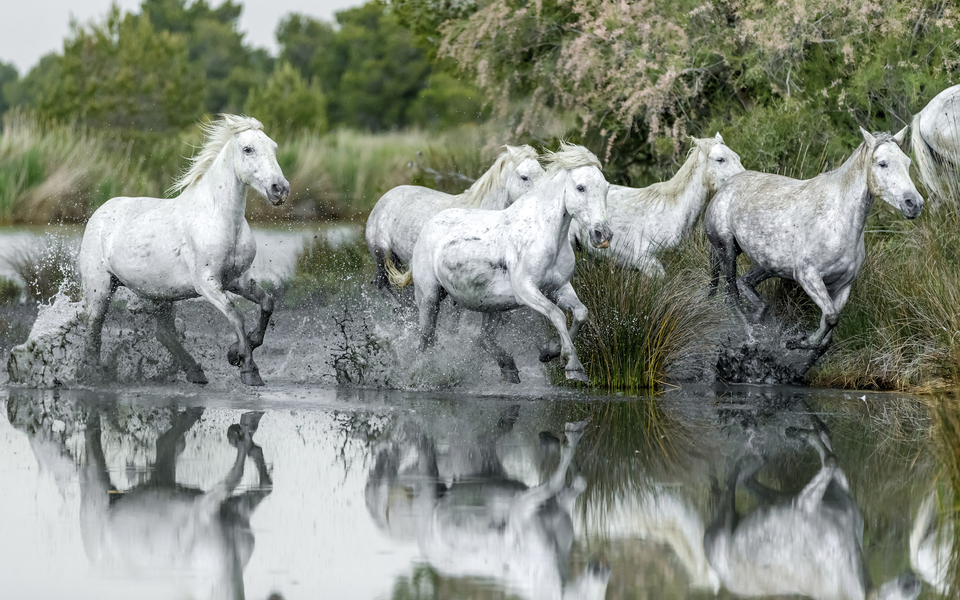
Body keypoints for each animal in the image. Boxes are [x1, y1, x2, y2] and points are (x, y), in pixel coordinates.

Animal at [78, 114, 289, 386]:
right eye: (248, 149)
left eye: (274, 147)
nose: (280, 189)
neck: (219, 220)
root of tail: (100, 211)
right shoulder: (206, 283)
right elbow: (236, 315)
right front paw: (248, 370)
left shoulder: (236, 279)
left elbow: (267, 303)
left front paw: (236, 353)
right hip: (101, 287)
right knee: (94, 327)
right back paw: (93, 373)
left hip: (160, 293)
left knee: (163, 333)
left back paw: (195, 371)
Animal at [400, 143, 611, 384]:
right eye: (580, 187)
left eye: (606, 188)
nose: (603, 235)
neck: (545, 235)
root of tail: (429, 224)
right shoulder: (526, 290)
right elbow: (557, 314)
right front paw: (573, 366)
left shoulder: (558, 287)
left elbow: (581, 312)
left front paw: (550, 352)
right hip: (429, 298)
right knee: (426, 340)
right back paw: (422, 374)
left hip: (492, 304)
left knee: (483, 338)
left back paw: (508, 367)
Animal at [704, 424, 921, 600]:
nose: (914, 581)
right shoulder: (804, 503)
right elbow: (830, 455)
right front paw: (803, 432)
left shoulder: (821, 493)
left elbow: (829, 449)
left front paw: (799, 432)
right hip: (724, 525)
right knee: (730, 480)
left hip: (771, 499)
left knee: (744, 478)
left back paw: (756, 450)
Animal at [705, 127, 922, 351]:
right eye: (882, 163)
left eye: (907, 162)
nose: (914, 204)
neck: (836, 220)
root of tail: (725, 187)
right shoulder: (808, 276)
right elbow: (831, 317)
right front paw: (798, 342)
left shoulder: (843, 285)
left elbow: (829, 326)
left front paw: (806, 344)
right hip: (726, 250)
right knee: (731, 295)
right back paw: (750, 336)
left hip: (767, 264)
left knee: (744, 282)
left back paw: (759, 317)